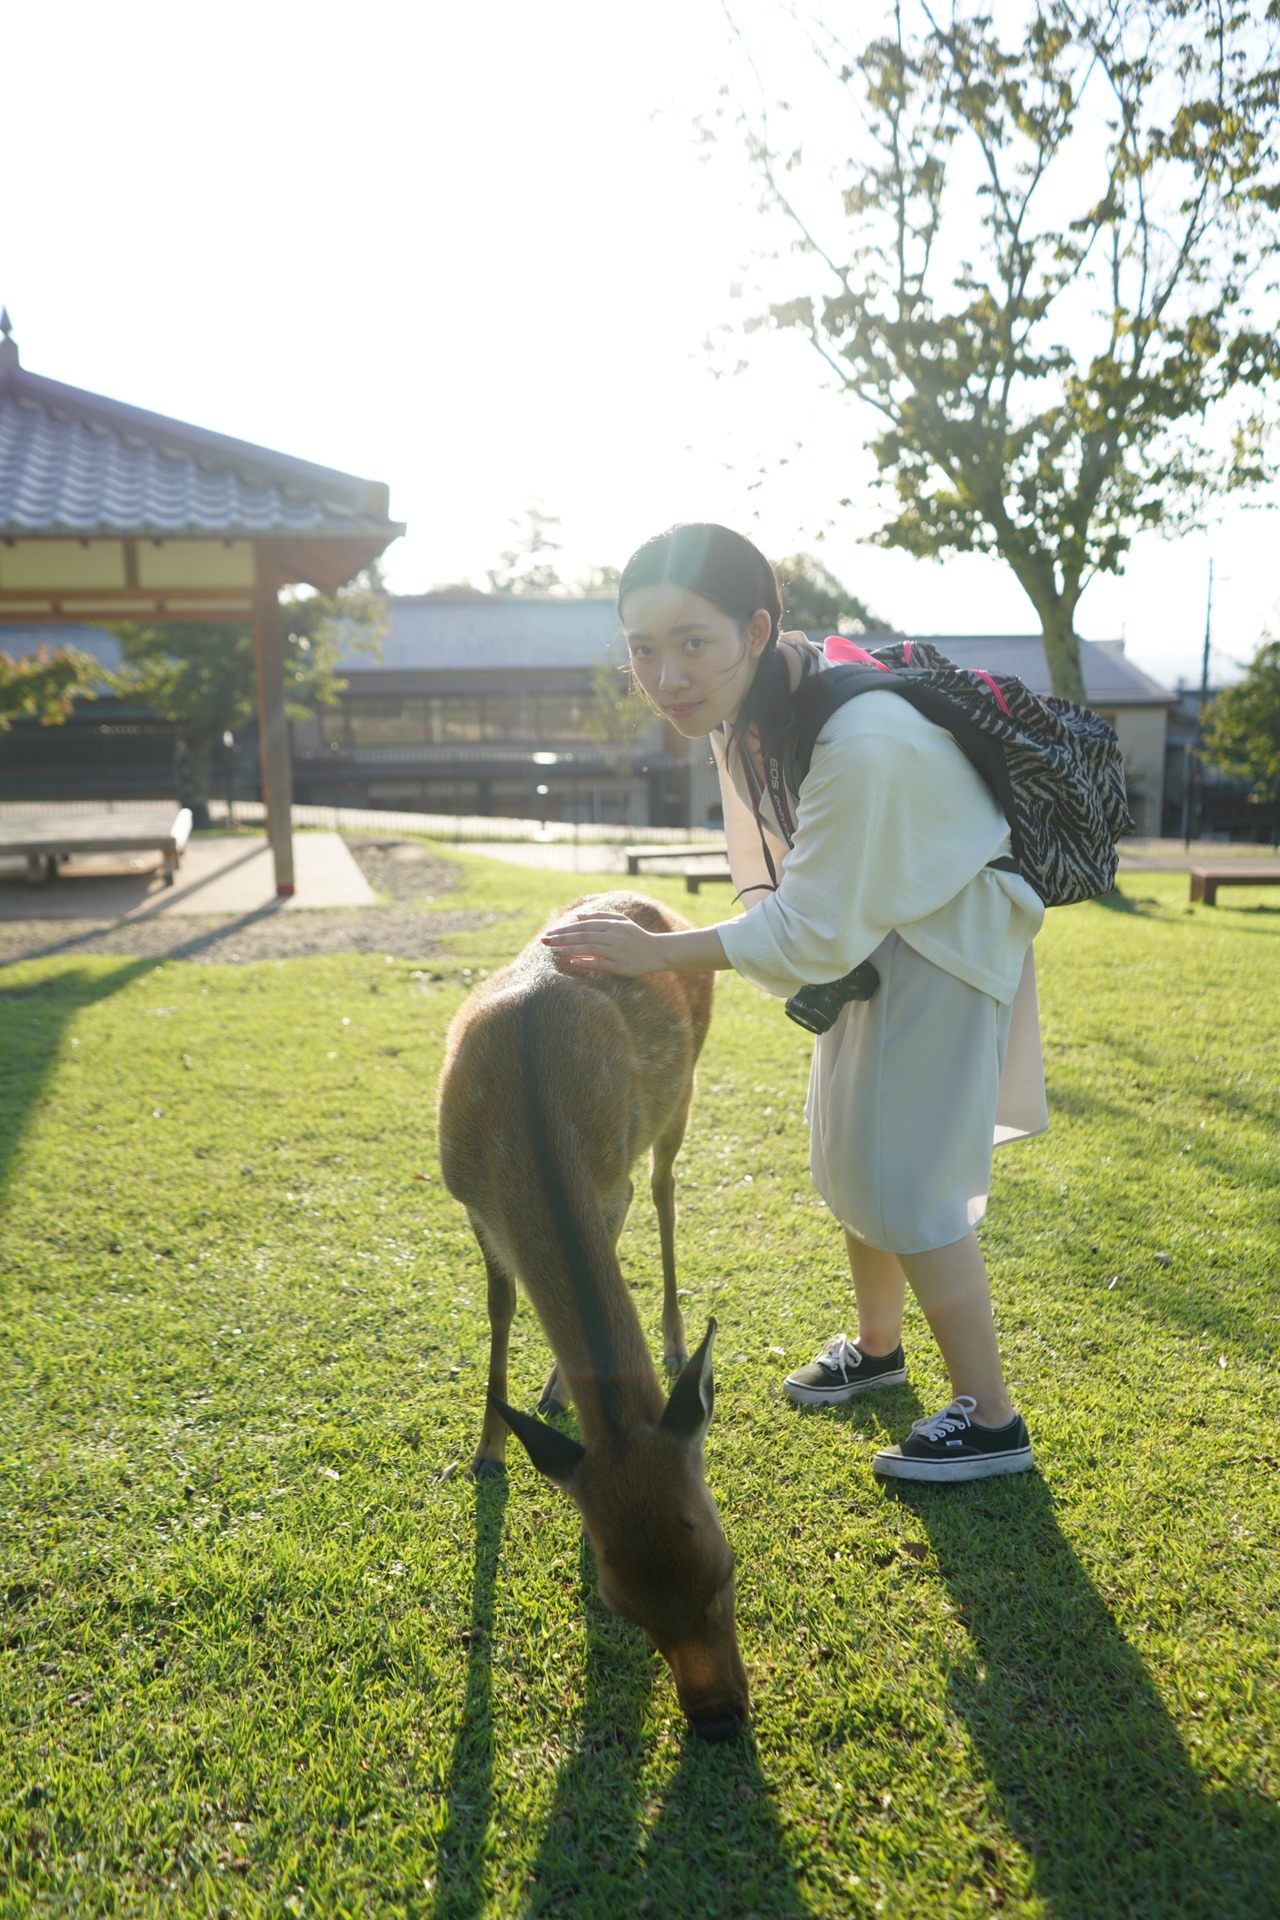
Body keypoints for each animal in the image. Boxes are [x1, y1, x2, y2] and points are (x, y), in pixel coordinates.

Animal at [437, 883, 752, 1743]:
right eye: (621, 1604)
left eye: (725, 1569)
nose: (717, 1717)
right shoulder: (471, 1201)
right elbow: (500, 1305)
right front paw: (487, 1448)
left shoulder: (610, 1176)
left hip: (682, 1094)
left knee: (668, 1191)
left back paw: (674, 1338)